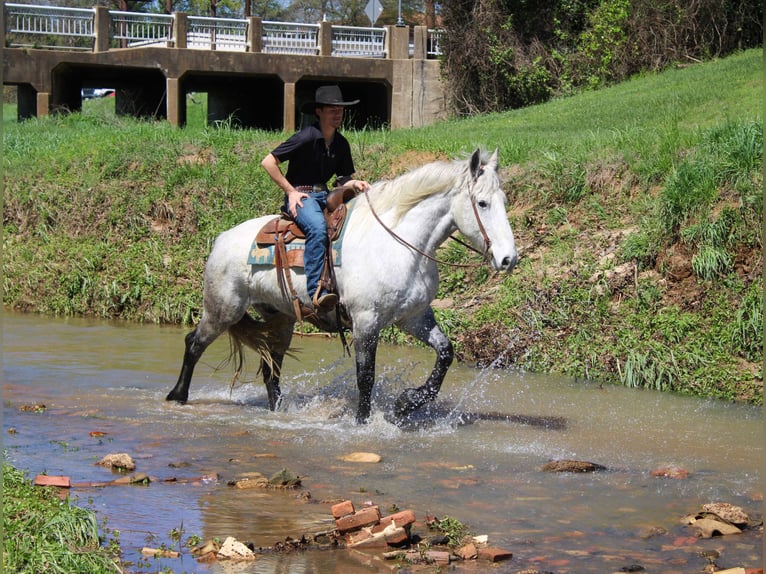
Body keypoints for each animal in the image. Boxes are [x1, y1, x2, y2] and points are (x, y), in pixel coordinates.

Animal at [166, 148, 518, 424]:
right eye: (482, 203)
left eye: (503, 200)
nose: (508, 259)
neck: (401, 243)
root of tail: (221, 239)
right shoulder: (366, 320)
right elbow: (366, 376)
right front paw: (363, 422)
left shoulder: (413, 317)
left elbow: (445, 354)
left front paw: (406, 404)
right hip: (223, 309)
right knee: (193, 344)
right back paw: (177, 396)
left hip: (280, 318)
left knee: (270, 366)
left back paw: (279, 409)